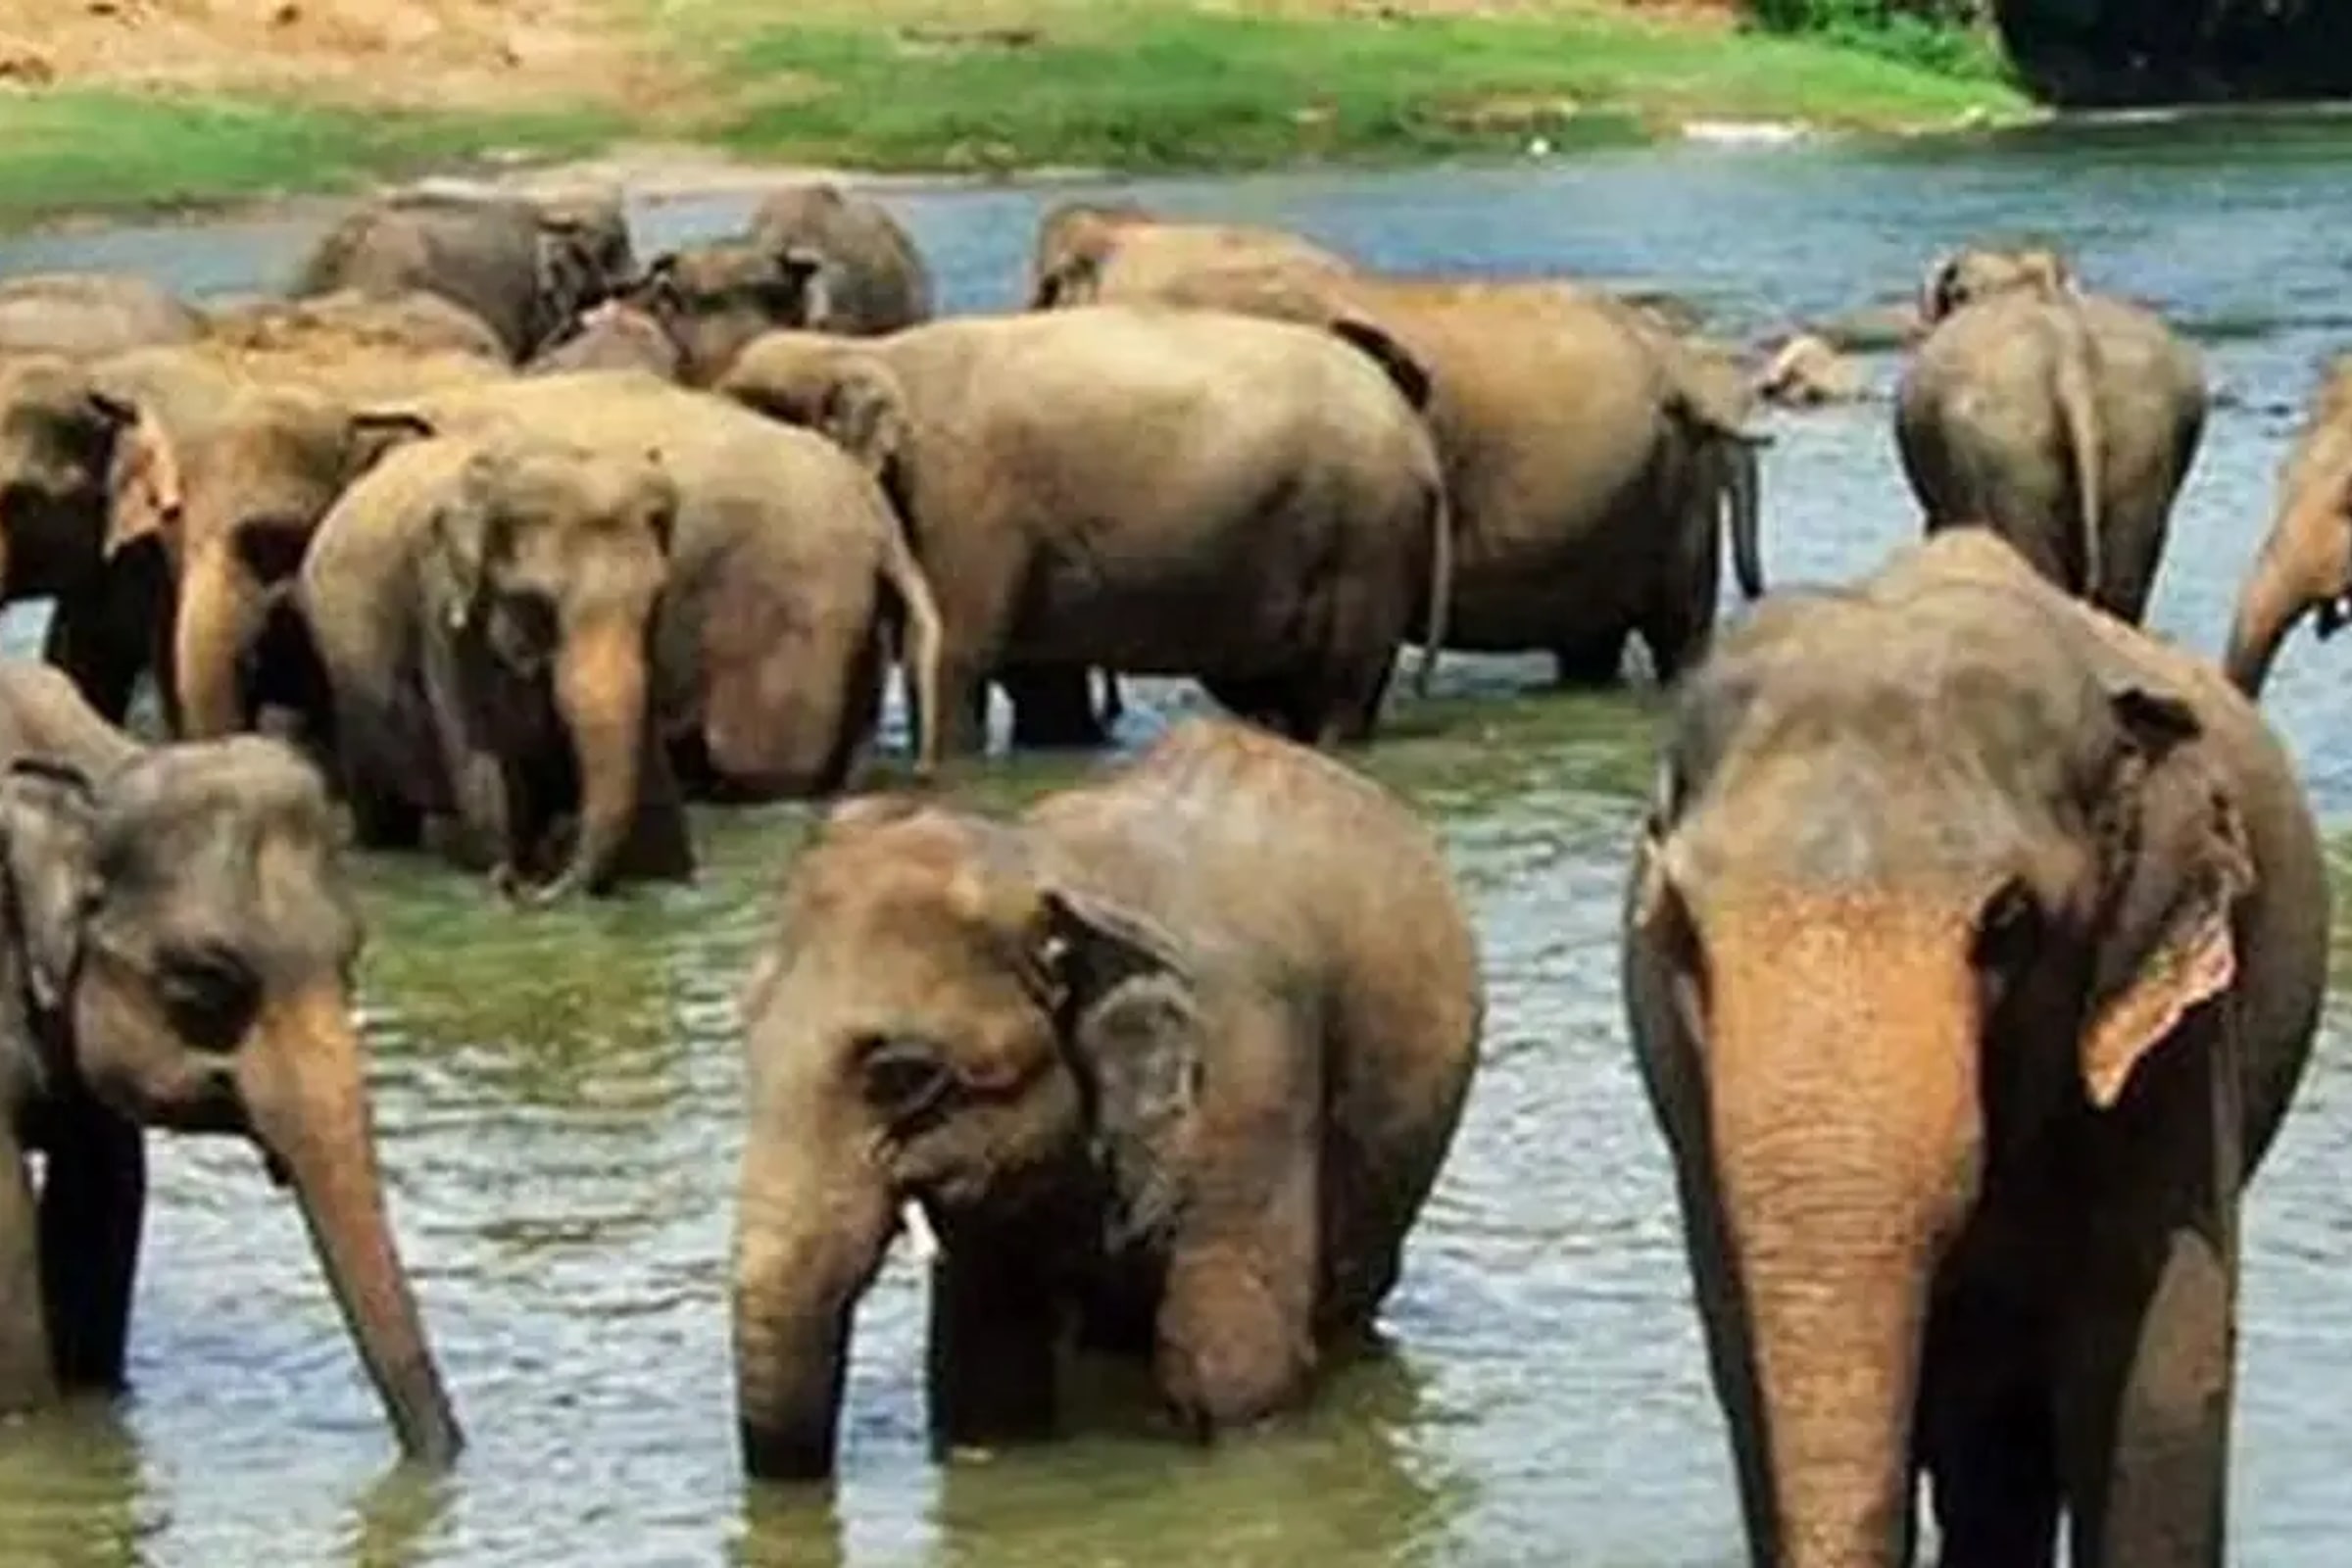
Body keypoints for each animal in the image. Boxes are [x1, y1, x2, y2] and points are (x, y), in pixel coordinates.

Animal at [297, 429, 690, 903]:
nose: (525, 888)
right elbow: (481, 765)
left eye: (655, 599)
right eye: (537, 605)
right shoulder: (444, 611)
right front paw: (507, 868)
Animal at [720, 304, 1452, 756]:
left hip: (1367, 536)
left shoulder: (964, 500)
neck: (864, 350)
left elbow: (954, 660)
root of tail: (1418, 438)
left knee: (1336, 692)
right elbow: (1040, 685)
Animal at [731, 715, 1483, 1480]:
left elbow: (1231, 1372)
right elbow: (984, 1379)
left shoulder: (1250, 1072)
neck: (1050, 876)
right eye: (747, 1037)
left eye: (903, 1075)